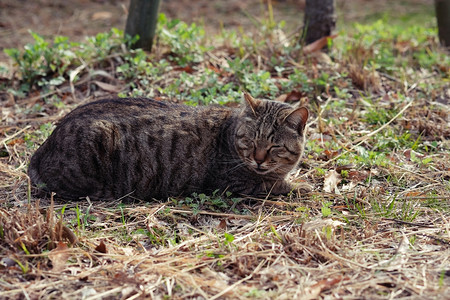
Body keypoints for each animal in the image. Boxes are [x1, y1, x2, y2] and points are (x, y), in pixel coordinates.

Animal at [29, 93, 310, 202]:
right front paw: (300, 185)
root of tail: (43, 148)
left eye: (274, 146)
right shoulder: (232, 184)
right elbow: (274, 185)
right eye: (251, 141)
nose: (259, 159)